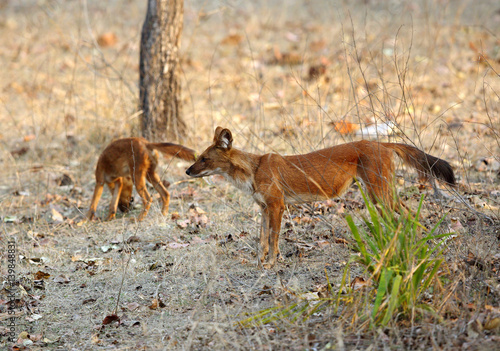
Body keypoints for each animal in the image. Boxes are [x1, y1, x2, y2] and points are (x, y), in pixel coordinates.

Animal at [186, 128, 456, 268]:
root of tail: (383, 143)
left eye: (204, 159)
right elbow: (261, 238)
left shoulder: (277, 205)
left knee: (405, 216)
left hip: (378, 195)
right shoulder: (263, 207)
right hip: (382, 193)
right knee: (409, 214)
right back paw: (417, 245)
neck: (253, 170)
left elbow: (273, 238)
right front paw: (260, 262)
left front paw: (272, 263)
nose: (187, 171)